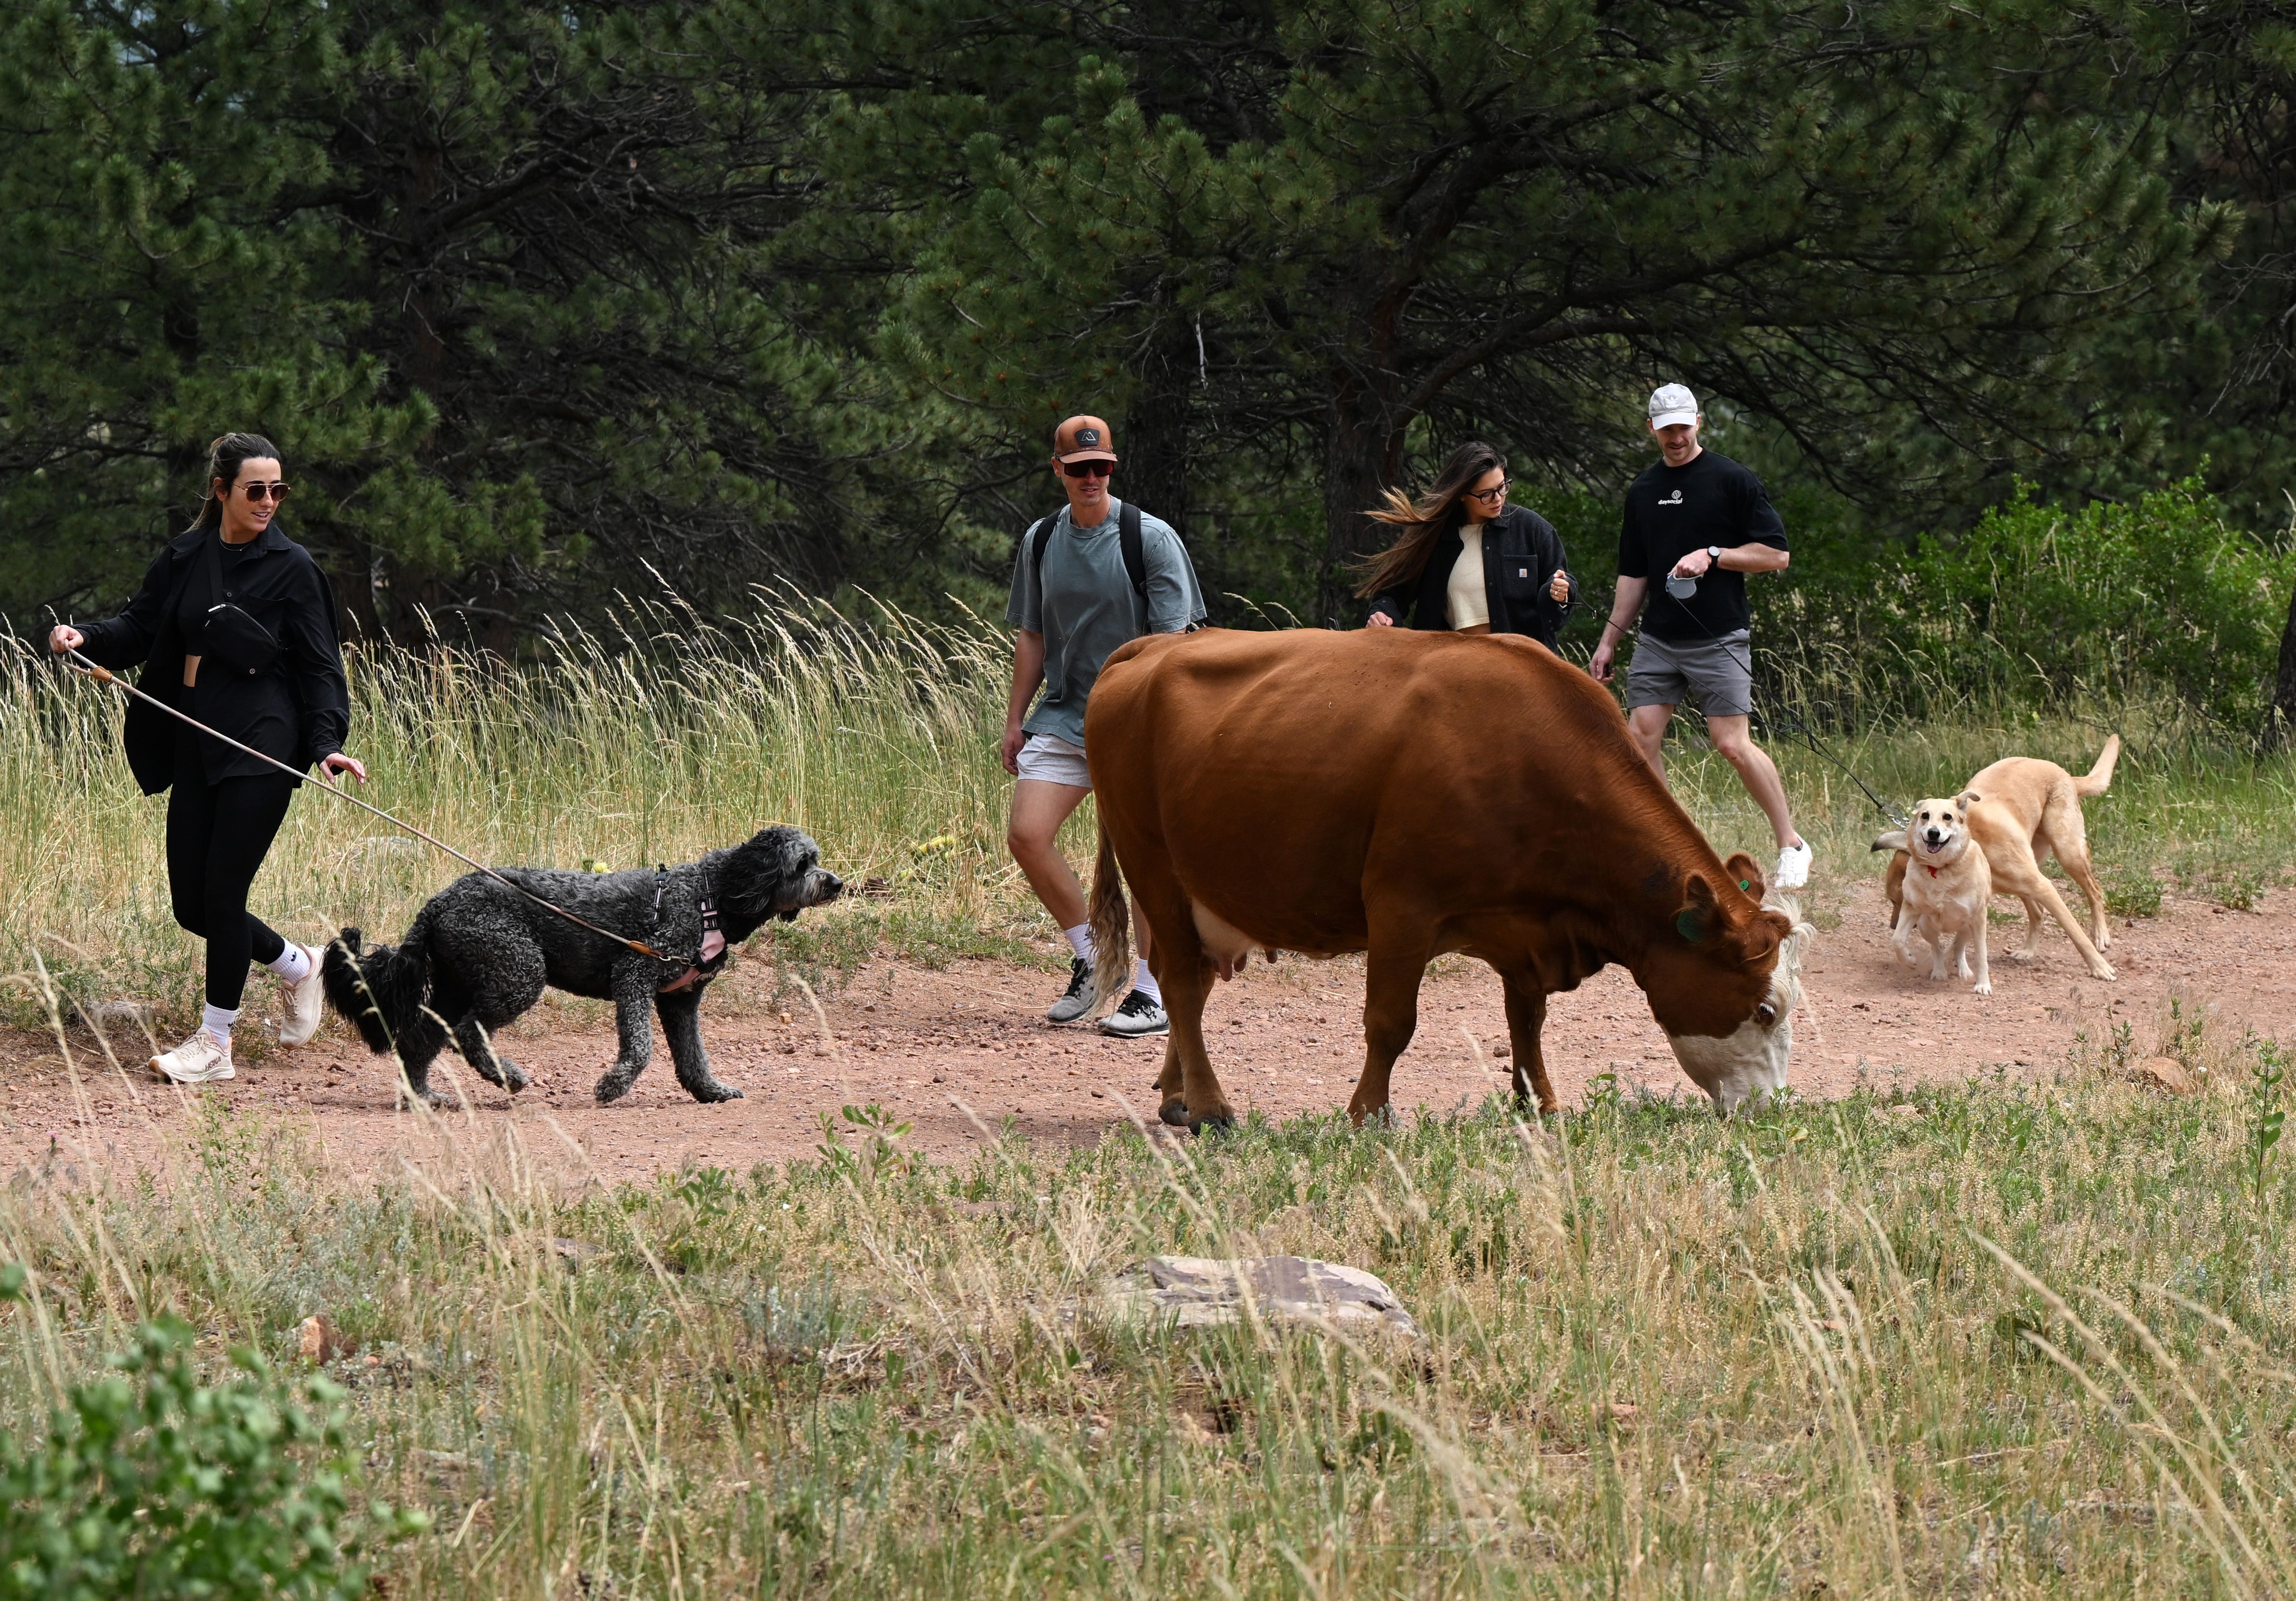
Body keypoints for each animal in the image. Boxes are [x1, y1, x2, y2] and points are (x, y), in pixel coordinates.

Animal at [323, 822, 845, 1098]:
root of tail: (438, 902)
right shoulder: (634, 975)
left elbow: (693, 1054)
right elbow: (641, 1047)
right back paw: (506, 1076)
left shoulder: (681, 1000)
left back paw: (424, 1094)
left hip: (461, 984)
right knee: (469, 1033)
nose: (836, 882)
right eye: (802, 864)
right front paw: (614, 1085)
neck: (711, 895)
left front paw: (709, 1090)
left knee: (422, 1039)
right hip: (518, 973)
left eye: (816, 858)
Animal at [1083, 625, 1818, 1125]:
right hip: (1151, 862)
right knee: (1182, 984)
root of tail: (1148, 647)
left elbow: (1526, 1019)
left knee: (1189, 978)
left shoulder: (1524, 926)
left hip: (1198, 884)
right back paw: (1209, 1106)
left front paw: (1540, 1102)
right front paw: (1367, 1113)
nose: (1772, 1107)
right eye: (1763, 1007)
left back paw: (1177, 1094)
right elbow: (1389, 1021)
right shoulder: (1402, 904)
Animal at [1882, 794, 1993, 992]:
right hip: (1926, 926)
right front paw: (1909, 960)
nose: (1933, 833)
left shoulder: (1978, 919)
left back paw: (1964, 971)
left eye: (1948, 817)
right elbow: (1897, 940)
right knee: (1938, 947)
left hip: (1967, 928)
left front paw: (1983, 985)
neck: (1939, 869)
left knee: (1959, 947)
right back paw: (1939, 972)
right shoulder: (1911, 909)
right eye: (1925, 815)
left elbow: (1981, 955)